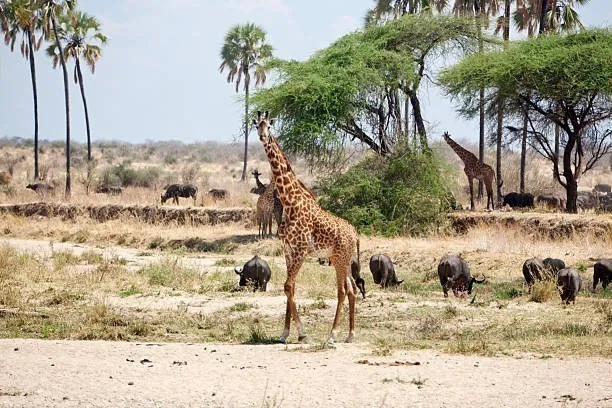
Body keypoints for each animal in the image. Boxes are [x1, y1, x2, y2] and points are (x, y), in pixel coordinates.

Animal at [252, 111, 358, 344]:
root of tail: (355, 234)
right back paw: (350, 335)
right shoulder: (288, 250)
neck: (290, 201)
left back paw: (332, 335)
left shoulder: (300, 250)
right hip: (344, 259)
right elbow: (290, 288)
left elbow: (287, 286)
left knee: (342, 290)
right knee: (353, 289)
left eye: (270, 125)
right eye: (257, 125)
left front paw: (303, 334)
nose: (262, 136)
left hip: (339, 259)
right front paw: (284, 334)